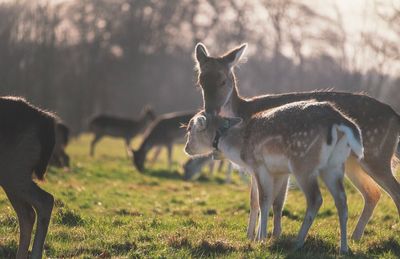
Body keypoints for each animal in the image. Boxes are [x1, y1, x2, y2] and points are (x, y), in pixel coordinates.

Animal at [186, 100, 364, 254]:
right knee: (342, 201)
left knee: (316, 198)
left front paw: (261, 239)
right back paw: (344, 248)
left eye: (189, 128)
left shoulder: (259, 166)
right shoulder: (278, 172)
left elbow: (263, 200)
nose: (186, 148)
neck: (239, 148)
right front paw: (263, 236)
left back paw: (298, 242)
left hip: (303, 164)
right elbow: (272, 202)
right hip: (335, 165)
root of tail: (340, 121)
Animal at [194, 42, 400, 242]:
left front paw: (271, 235)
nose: (210, 111)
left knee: (393, 191)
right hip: (351, 162)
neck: (243, 113)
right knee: (372, 193)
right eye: (201, 81)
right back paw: (354, 238)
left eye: (223, 80)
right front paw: (250, 236)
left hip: (377, 155)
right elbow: (254, 199)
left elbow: (277, 201)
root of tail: (395, 116)